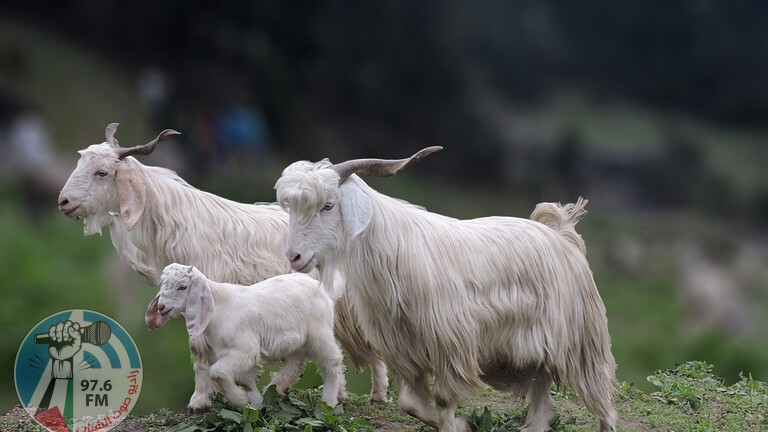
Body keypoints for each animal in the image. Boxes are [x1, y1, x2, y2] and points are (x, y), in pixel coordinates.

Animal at [145, 264, 348, 412]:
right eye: (163, 285)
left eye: (183, 287)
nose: (162, 307)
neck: (219, 307)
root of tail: (325, 291)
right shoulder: (234, 353)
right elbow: (245, 379)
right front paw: (255, 403)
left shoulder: (244, 349)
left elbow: (217, 372)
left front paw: (241, 400)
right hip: (295, 340)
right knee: (296, 362)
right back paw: (279, 387)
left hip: (318, 333)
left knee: (332, 361)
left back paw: (329, 401)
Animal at [276, 148, 616, 432]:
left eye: (328, 205)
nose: (294, 256)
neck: (392, 250)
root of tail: (561, 236)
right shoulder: (402, 349)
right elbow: (410, 403)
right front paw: (458, 424)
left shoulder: (451, 343)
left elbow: (443, 397)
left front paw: (456, 426)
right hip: (536, 350)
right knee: (542, 397)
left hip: (582, 343)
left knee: (602, 399)